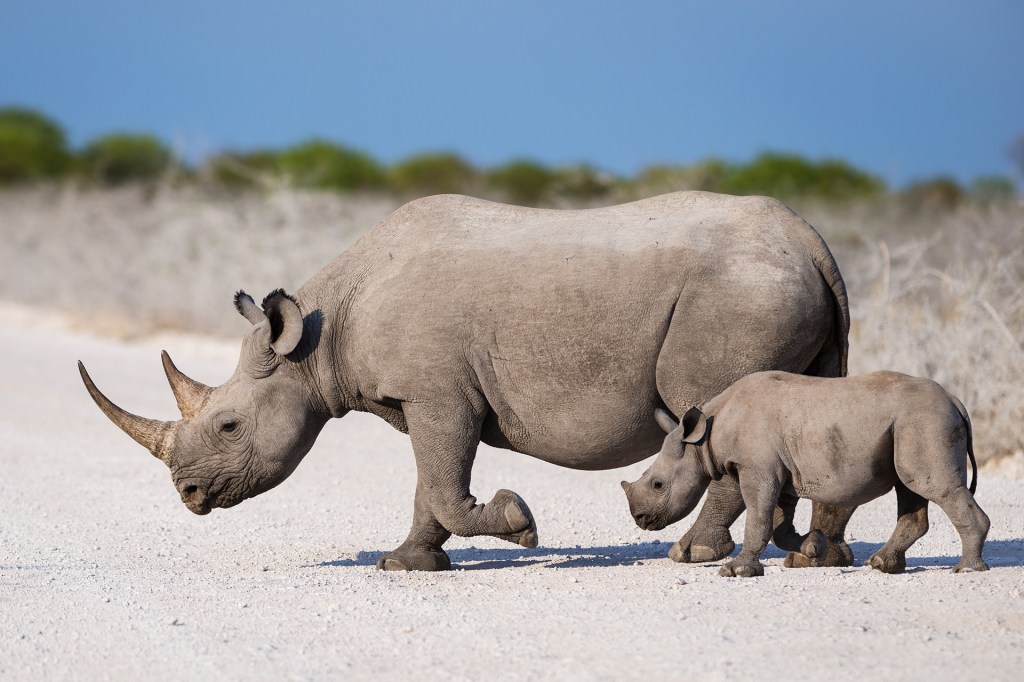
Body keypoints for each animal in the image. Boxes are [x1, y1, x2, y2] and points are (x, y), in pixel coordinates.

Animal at [80, 191, 855, 571]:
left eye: (229, 425)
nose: (188, 497)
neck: (315, 342)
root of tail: (811, 240)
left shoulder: (438, 394)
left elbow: (446, 487)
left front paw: (518, 523)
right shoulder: (428, 397)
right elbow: (430, 486)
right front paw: (405, 564)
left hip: (738, 294)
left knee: (718, 411)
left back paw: (693, 555)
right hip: (775, 287)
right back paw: (811, 556)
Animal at [623, 371, 990, 577]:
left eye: (658, 484)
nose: (640, 519)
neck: (704, 437)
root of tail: (956, 401)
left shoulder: (758, 470)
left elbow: (759, 518)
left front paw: (737, 571)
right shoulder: (781, 472)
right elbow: (778, 526)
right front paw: (813, 548)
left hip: (925, 421)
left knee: (932, 485)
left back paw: (966, 570)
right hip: (912, 424)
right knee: (910, 487)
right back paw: (883, 565)